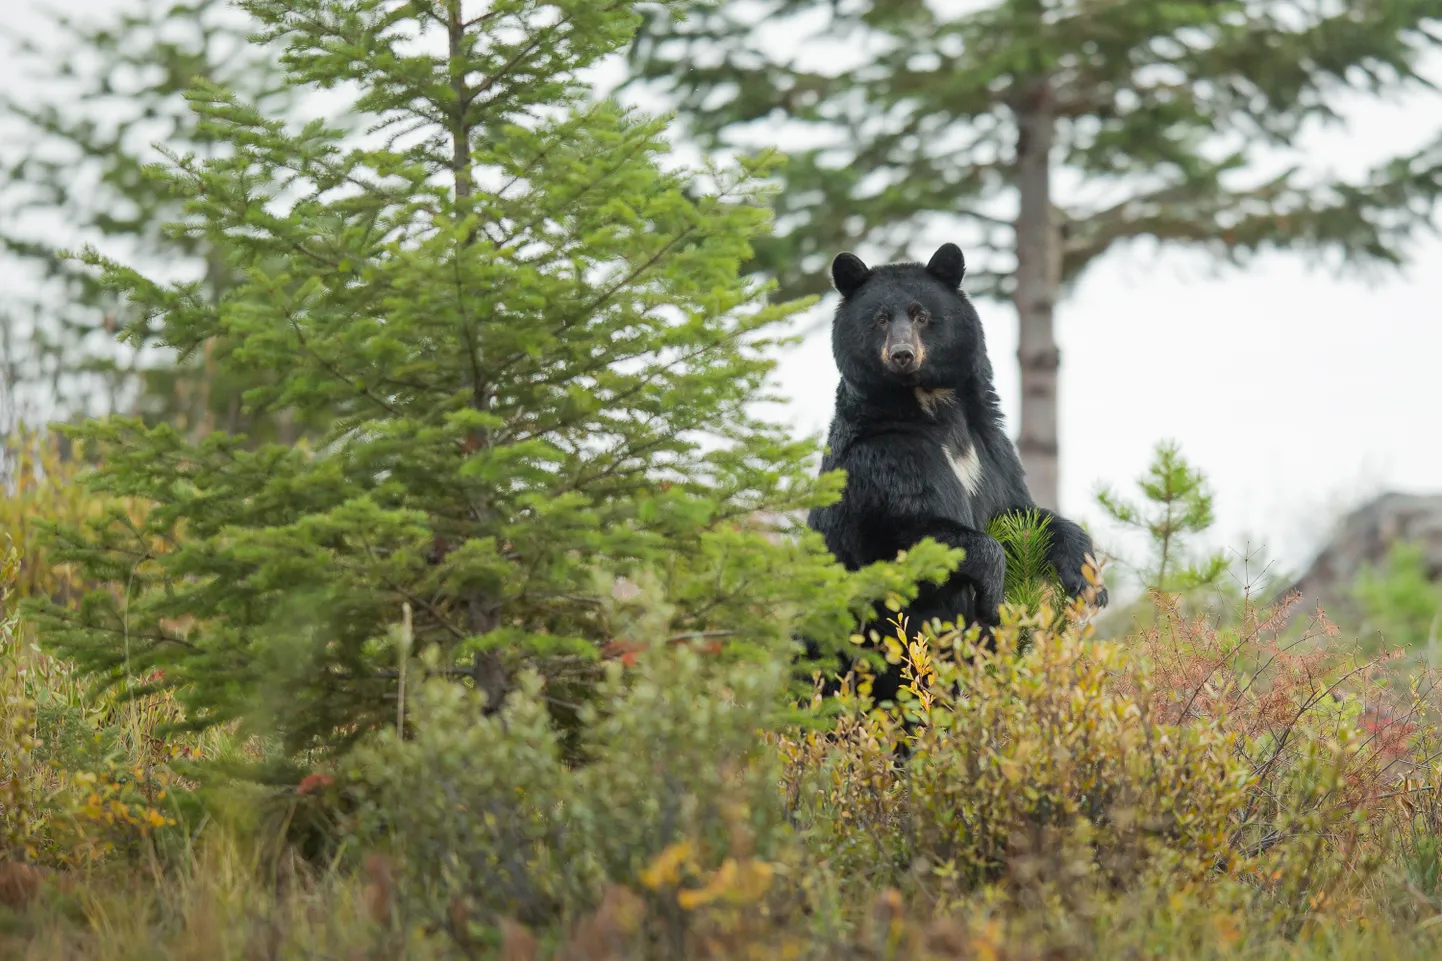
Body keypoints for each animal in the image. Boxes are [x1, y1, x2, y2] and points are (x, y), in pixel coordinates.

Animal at [813, 240, 1101, 704]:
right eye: (880, 318)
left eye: (921, 314)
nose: (902, 355)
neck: (932, 405)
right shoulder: (885, 456)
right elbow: (914, 529)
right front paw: (993, 594)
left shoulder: (990, 449)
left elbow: (1019, 513)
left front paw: (1088, 581)